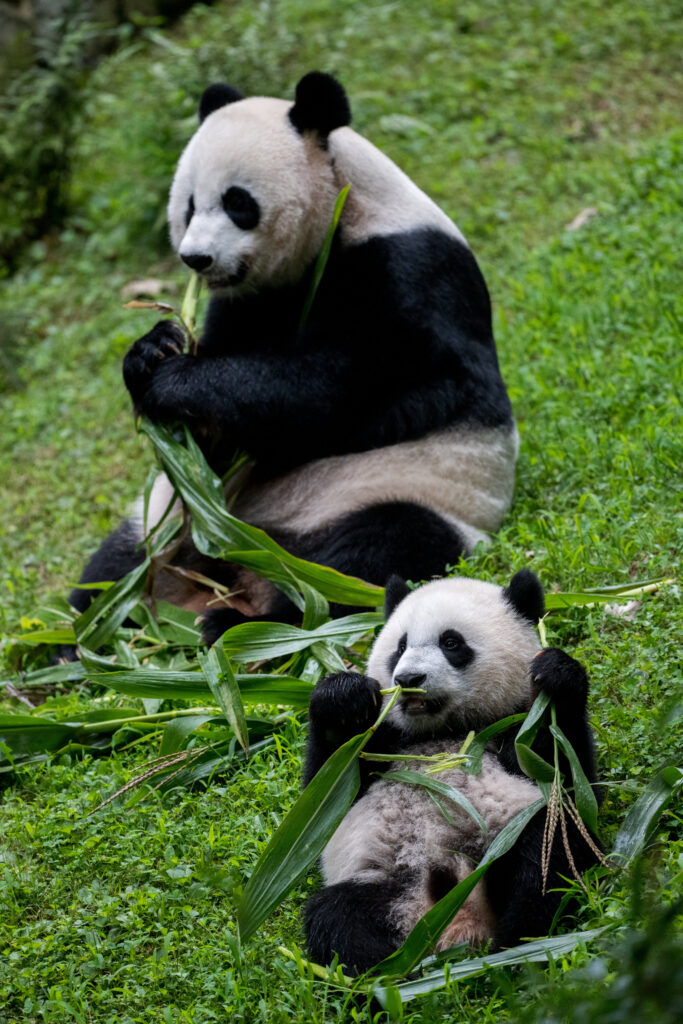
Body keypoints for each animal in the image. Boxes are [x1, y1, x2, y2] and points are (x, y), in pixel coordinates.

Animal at [70, 72, 518, 640]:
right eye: (188, 204)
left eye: (237, 202)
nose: (196, 258)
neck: (344, 209)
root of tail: (243, 566)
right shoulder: (248, 301)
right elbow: (215, 446)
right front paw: (153, 350)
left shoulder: (410, 269)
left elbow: (348, 392)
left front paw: (178, 379)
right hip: (170, 519)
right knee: (115, 564)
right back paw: (82, 635)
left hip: (395, 494)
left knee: (372, 553)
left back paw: (251, 625)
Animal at [304, 569, 601, 974]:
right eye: (400, 646)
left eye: (451, 642)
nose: (408, 679)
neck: (443, 731)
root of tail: (453, 919)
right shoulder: (386, 743)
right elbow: (326, 800)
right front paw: (344, 696)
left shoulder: (515, 726)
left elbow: (572, 786)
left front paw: (557, 674)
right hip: (382, 881)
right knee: (336, 918)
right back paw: (394, 970)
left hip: (505, 836)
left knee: (545, 856)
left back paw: (515, 947)